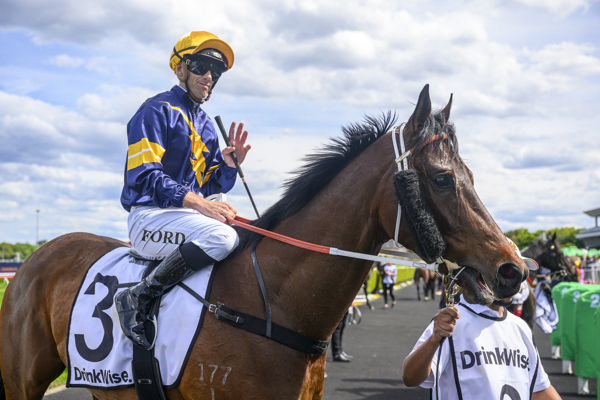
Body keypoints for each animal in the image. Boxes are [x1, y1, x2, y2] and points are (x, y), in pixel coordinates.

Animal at [0, 83, 528, 396]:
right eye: (442, 179)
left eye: (469, 175)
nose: (513, 269)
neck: (271, 302)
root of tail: (36, 256)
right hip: (22, 378)